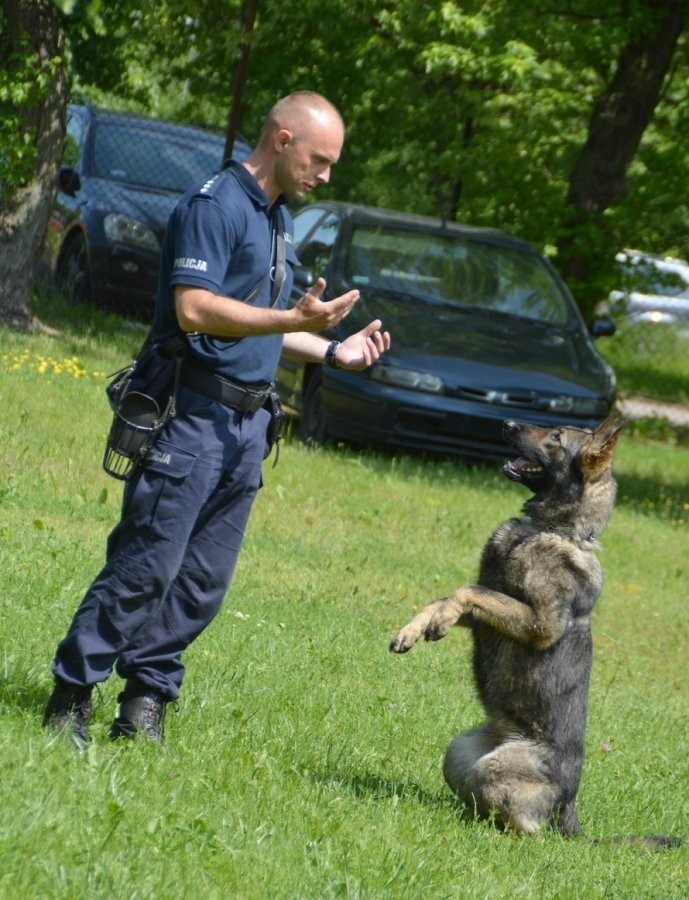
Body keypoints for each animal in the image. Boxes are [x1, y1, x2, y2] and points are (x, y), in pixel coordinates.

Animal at [390, 414, 628, 836]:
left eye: (556, 437)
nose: (508, 422)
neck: (554, 530)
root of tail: (568, 808)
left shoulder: (538, 623)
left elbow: (467, 590)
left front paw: (439, 622)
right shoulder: (487, 613)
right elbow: (445, 598)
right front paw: (413, 629)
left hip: (497, 769)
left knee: (531, 829)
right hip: (457, 754)